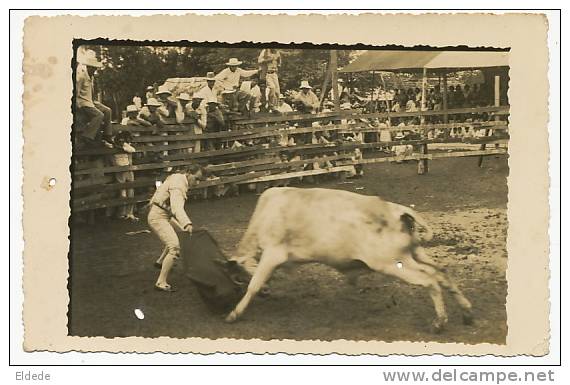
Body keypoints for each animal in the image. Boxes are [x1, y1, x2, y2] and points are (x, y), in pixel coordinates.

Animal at [225, 186, 470, 330]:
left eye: (240, 276)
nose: (268, 293)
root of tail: (398, 211)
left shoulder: (273, 254)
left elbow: (254, 285)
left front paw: (234, 313)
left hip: (392, 263)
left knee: (429, 280)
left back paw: (440, 322)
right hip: (415, 253)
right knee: (441, 273)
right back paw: (467, 313)